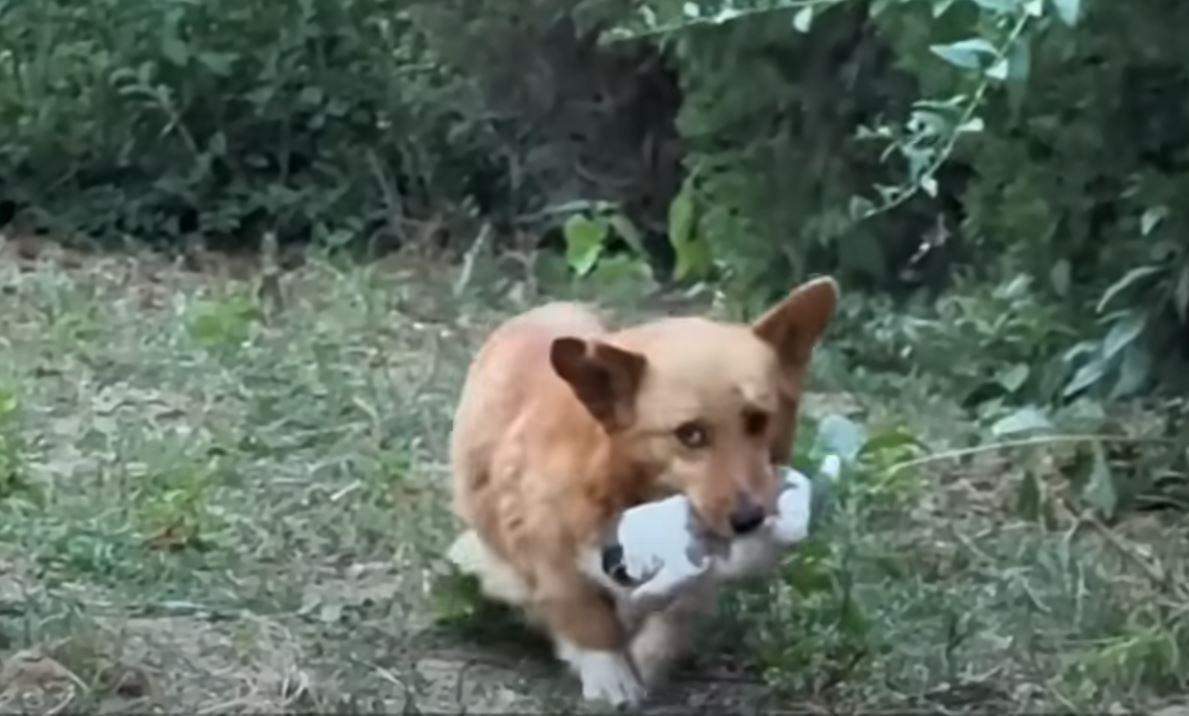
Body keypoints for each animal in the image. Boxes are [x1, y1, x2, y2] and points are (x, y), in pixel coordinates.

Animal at [444, 274, 837, 704]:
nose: (750, 520)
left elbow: (674, 615)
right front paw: (612, 679)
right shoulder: (548, 557)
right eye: (690, 435)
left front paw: (648, 658)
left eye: (758, 420)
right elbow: (586, 617)